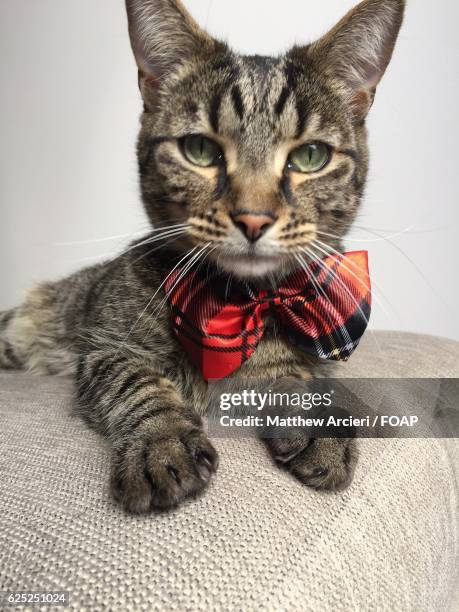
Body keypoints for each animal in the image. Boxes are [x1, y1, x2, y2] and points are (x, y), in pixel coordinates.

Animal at [0, 0, 404, 512]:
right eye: (200, 149)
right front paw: (162, 442)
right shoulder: (106, 350)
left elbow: (294, 376)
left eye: (311, 156)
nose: (253, 219)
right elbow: (140, 384)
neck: (241, 302)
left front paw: (317, 422)